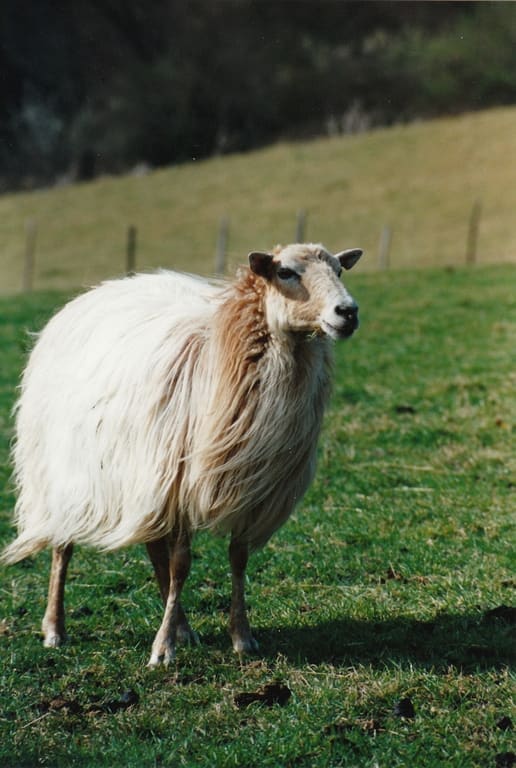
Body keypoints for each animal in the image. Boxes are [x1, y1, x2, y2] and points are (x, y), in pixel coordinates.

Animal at [2, 242, 362, 665]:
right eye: (286, 272)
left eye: (340, 270)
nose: (348, 312)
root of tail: (91, 295)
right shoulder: (182, 487)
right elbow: (181, 565)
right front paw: (162, 649)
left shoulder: (247, 490)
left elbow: (236, 558)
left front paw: (241, 636)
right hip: (67, 473)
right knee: (63, 547)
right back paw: (55, 628)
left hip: (143, 476)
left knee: (153, 548)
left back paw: (184, 628)